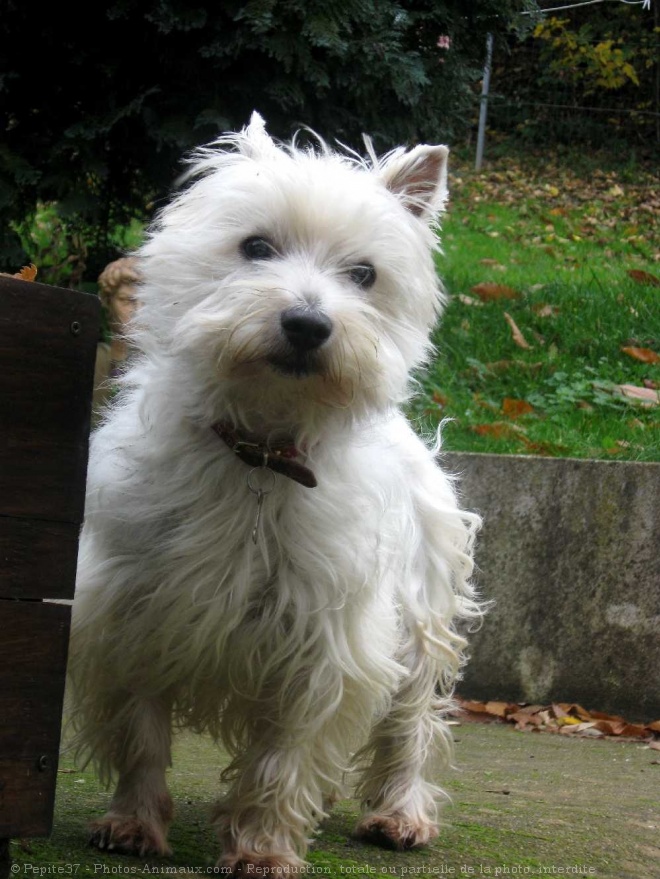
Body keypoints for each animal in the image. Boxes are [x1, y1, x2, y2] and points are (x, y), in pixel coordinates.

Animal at [68, 111, 484, 872]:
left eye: (364, 274)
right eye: (256, 246)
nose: (309, 325)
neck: (260, 452)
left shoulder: (326, 640)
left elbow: (284, 756)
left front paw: (262, 846)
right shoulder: (131, 615)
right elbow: (141, 733)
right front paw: (133, 823)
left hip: (421, 619)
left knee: (411, 724)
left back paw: (400, 814)